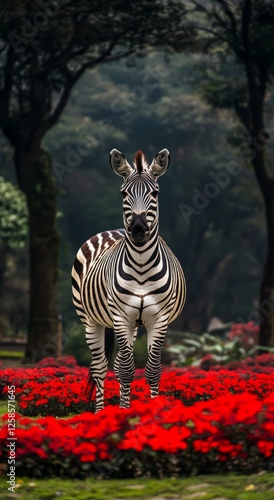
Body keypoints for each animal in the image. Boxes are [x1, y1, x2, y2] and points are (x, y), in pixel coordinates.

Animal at [71, 147, 186, 410]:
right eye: (124, 193)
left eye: (155, 192)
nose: (138, 228)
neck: (142, 265)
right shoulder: (121, 316)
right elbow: (125, 370)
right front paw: (123, 412)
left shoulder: (159, 319)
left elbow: (152, 370)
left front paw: (152, 410)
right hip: (91, 320)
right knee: (100, 367)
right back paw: (100, 412)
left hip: (133, 325)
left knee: (114, 363)